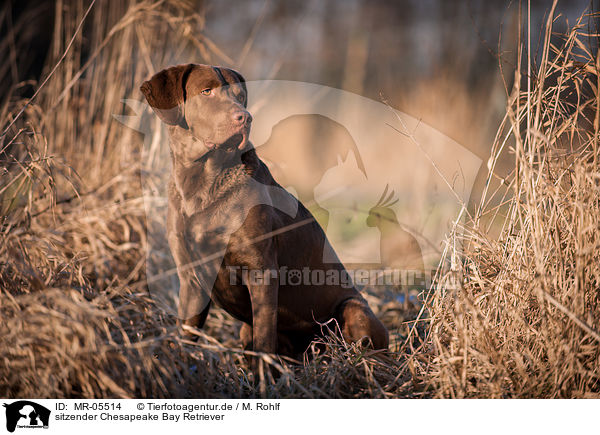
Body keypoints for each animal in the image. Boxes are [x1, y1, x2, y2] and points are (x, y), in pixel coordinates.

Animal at [139, 63, 390, 358]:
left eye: (239, 96)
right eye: (206, 91)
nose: (245, 117)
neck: (201, 184)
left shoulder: (260, 271)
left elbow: (264, 339)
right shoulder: (190, 278)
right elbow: (187, 334)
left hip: (353, 310)